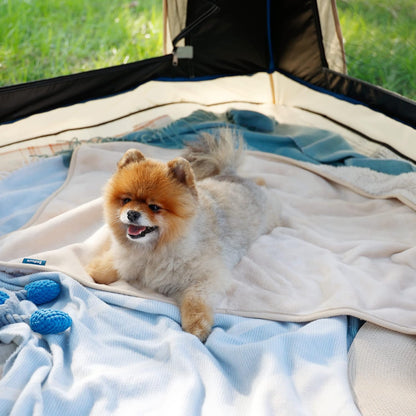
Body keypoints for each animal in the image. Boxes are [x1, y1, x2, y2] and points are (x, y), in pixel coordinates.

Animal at [89, 131, 282, 342]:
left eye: (154, 207)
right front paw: (95, 271)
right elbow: (113, 263)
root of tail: (231, 174)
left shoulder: (207, 277)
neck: (153, 251)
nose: (132, 213)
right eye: (126, 200)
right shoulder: (129, 257)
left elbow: (194, 299)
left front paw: (196, 326)